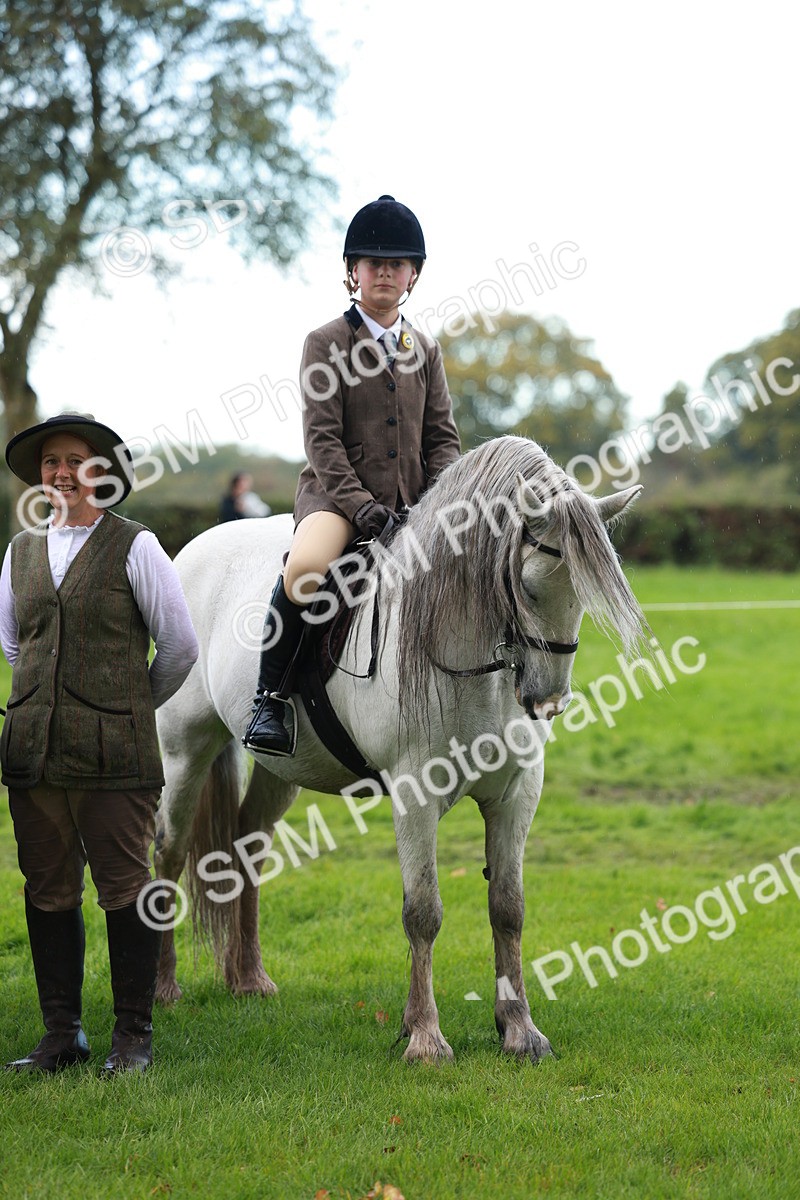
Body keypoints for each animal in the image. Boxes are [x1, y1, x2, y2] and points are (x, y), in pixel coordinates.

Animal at [152, 435, 649, 1062]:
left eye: (581, 592)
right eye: (528, 587)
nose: (547, 700)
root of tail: (192, 549)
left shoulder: (516, 795)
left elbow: (508, 907)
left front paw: (519, 1029)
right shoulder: (415, 796)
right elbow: (423, 912)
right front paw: (425, 1037)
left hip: (280, 768)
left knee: (246, 849)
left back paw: (248, 979)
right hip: (185, 749)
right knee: (169, 852)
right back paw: (163, 987)